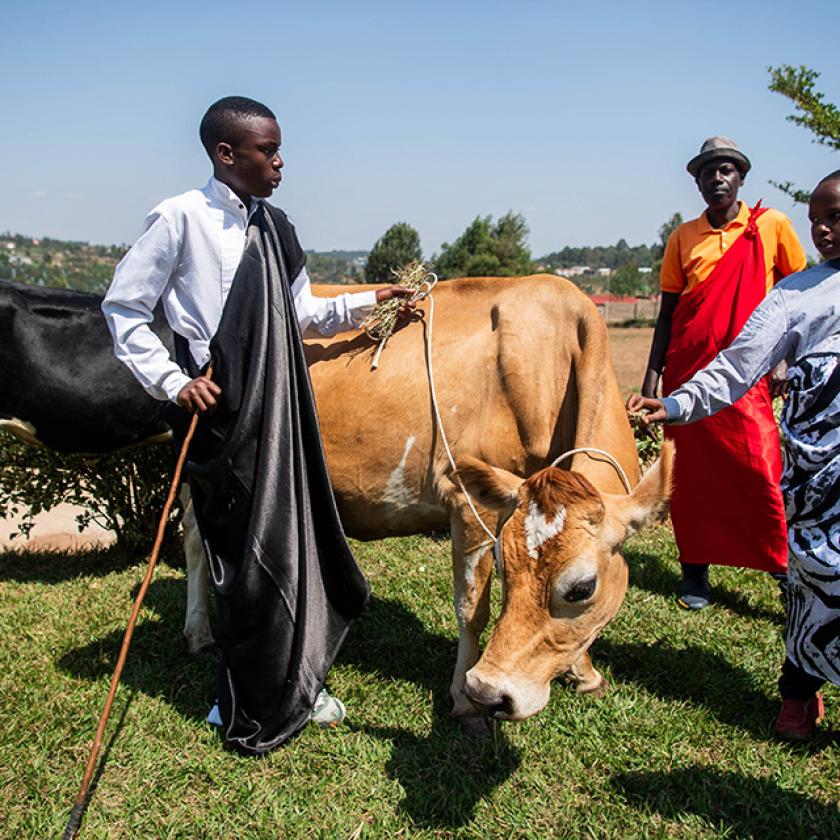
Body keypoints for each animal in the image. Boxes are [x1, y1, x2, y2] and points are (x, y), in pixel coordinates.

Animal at [184, 276, 668, 728]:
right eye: (505, 568)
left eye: (582, 588)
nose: (494, 692)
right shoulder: (471, 505)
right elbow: (472, 610)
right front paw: (465, 702)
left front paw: (584, 673)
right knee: (197, 543)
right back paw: (203, 635)